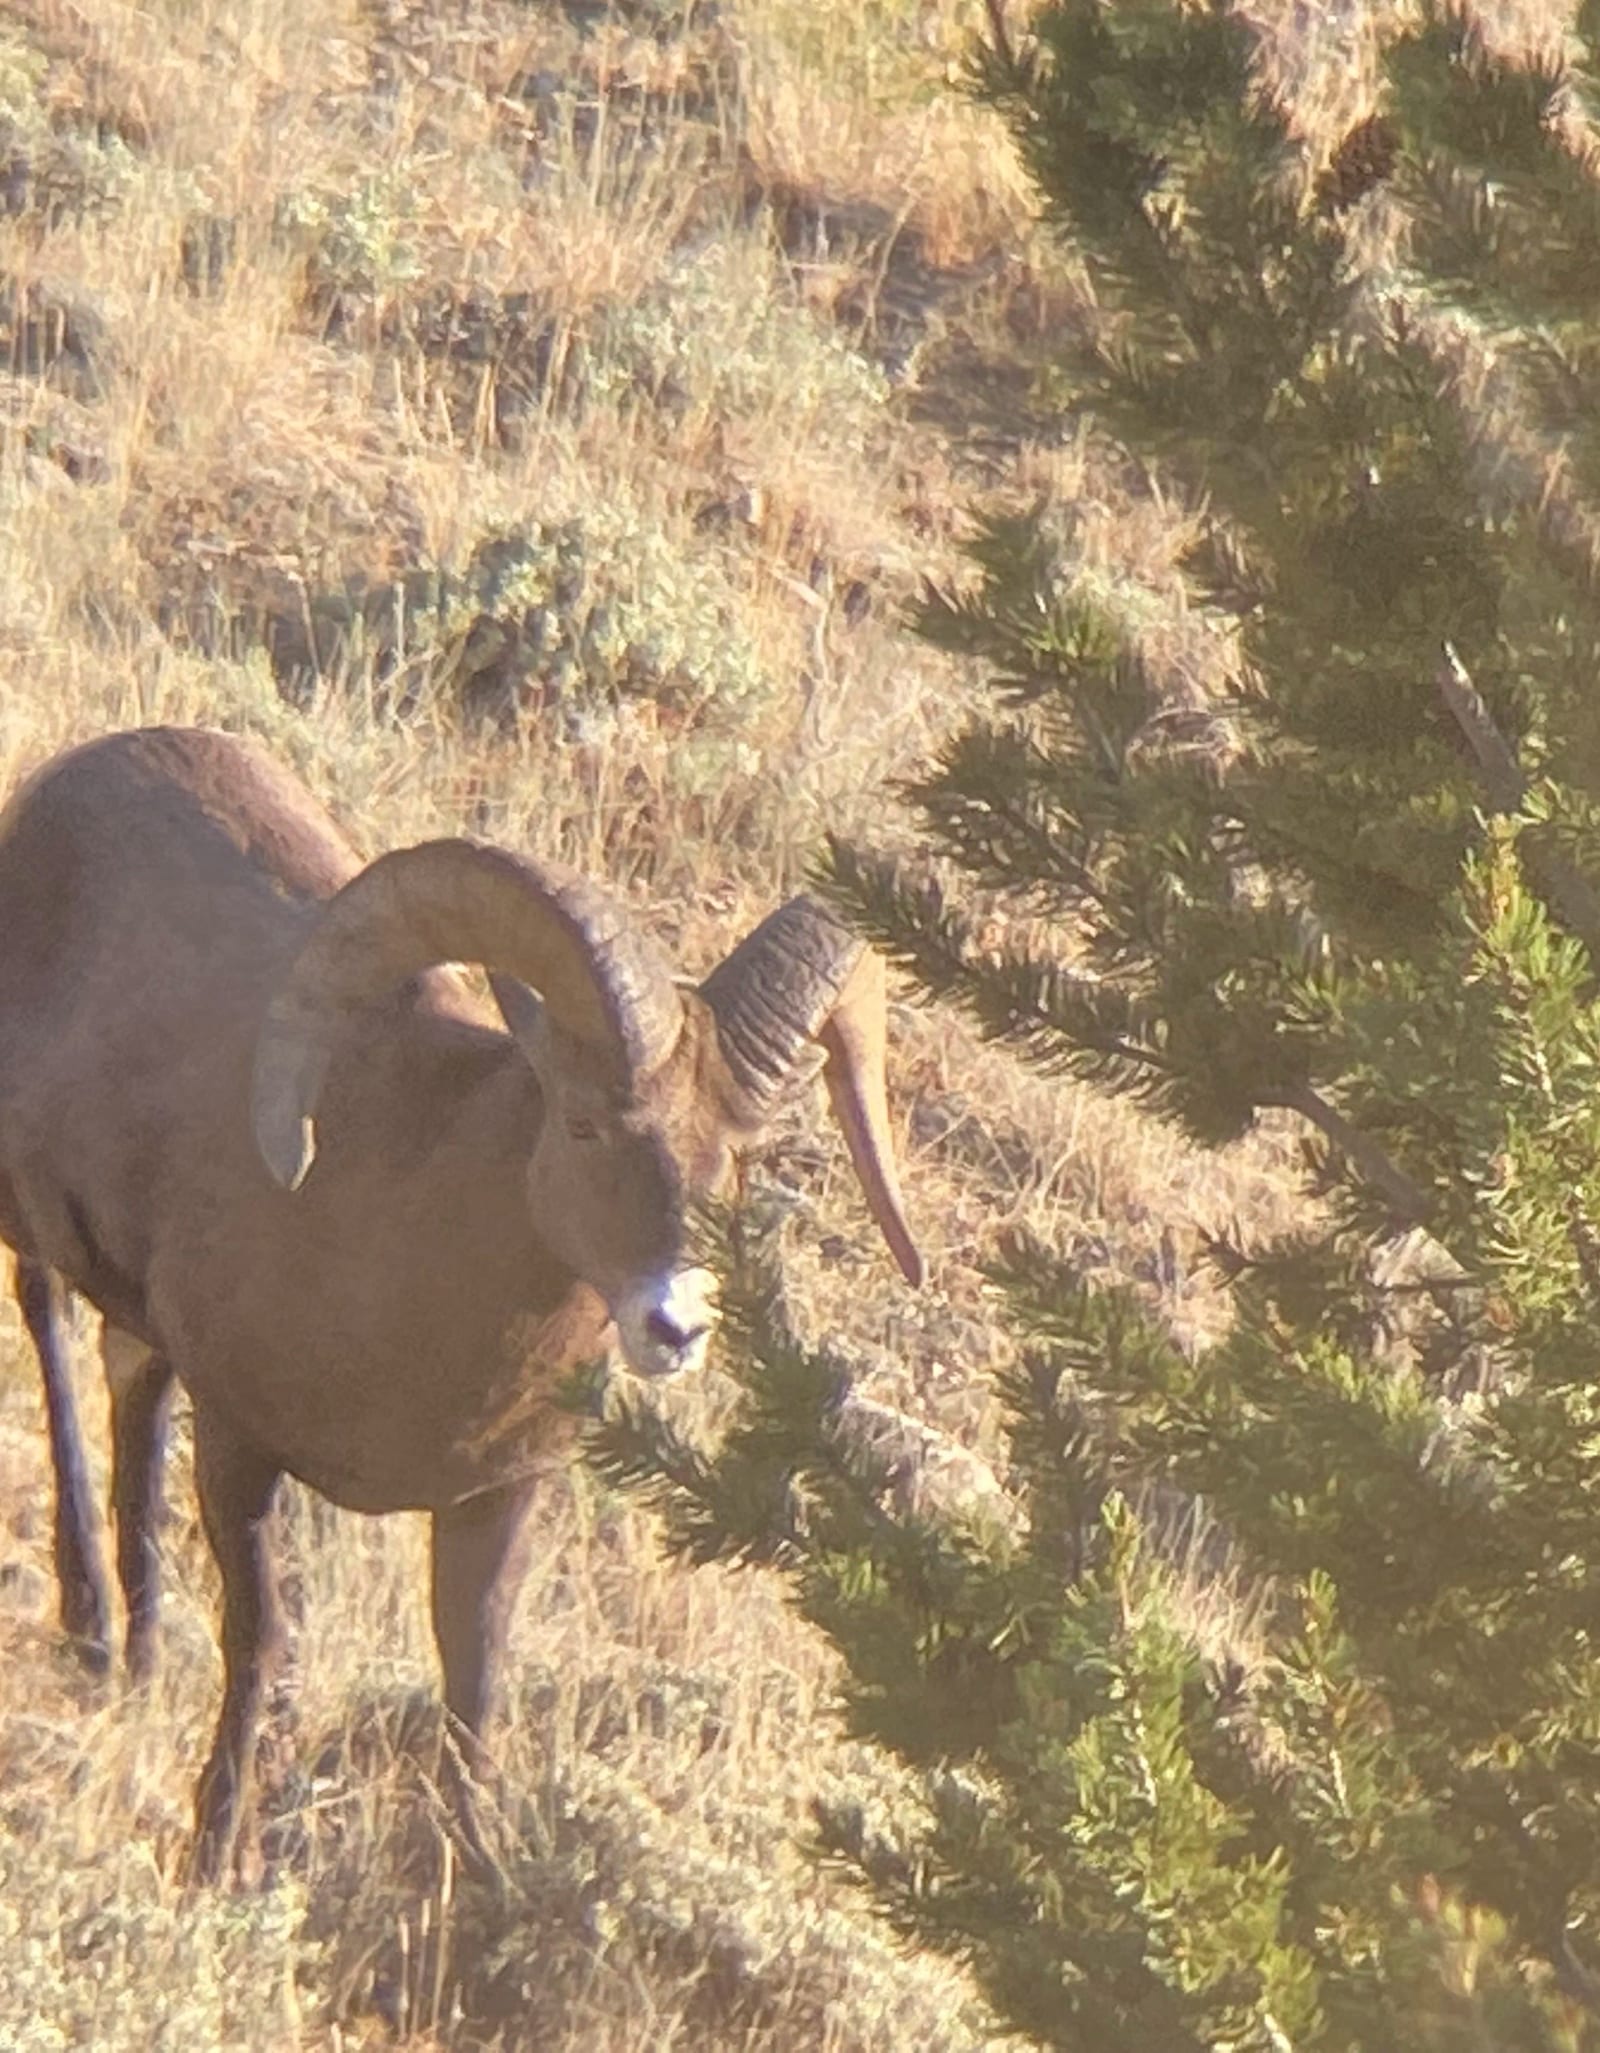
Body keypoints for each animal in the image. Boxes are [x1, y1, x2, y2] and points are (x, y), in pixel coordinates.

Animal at [0, 726, 923, 1880]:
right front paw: (216, 1852)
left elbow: (472, 1679)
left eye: (738, 1160)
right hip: (28, 1223)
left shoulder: (495, 1499)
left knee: (131, 1398)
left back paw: (136, 1656)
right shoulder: (240, 1447)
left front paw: (476, 1868)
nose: (674, 1325)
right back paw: (86, 1631)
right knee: (51, 1340)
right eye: (582, 1123)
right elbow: (260, 1639)